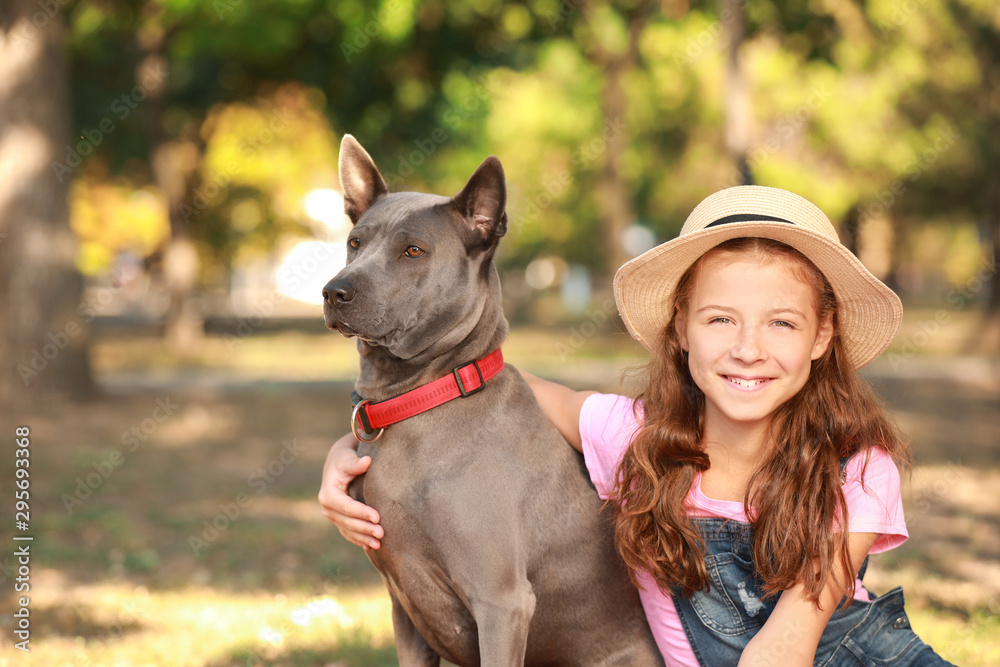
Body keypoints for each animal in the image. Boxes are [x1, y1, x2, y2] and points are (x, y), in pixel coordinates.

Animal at [324, 136, 660, 667]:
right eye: (356, 242)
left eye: (413, 250)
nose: (335, 291)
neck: (422, 398)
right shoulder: (406, 612)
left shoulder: (502, 603)